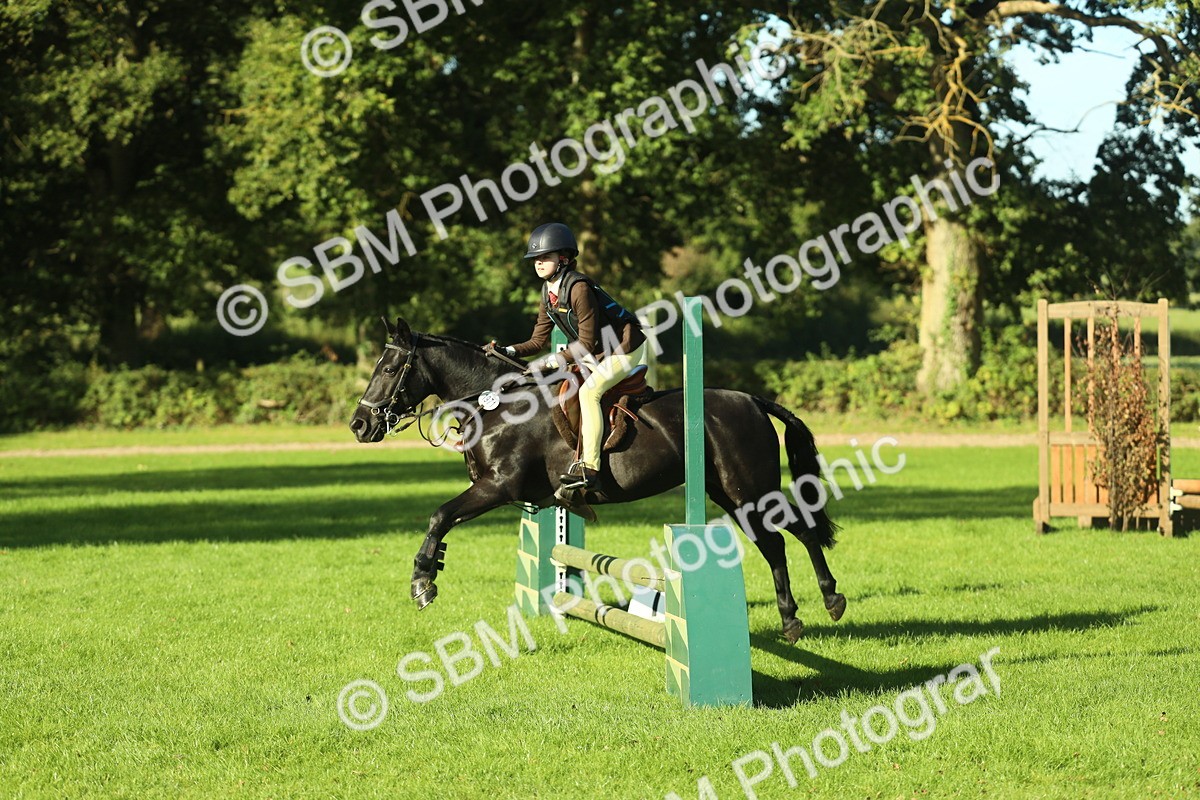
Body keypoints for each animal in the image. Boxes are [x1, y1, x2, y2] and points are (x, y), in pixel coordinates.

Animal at [348, 317, 846, 643]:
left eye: (389, 370)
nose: (358, 426)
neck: (496, 405)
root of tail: (753, 400)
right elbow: (443, 520)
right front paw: (430, 573)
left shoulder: (496, 488)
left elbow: (439, 516)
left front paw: (423, 581)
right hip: (730, 494)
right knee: (774, 543)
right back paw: (792, 621)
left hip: (751, 488)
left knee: (796, 532)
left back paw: (830, 600)